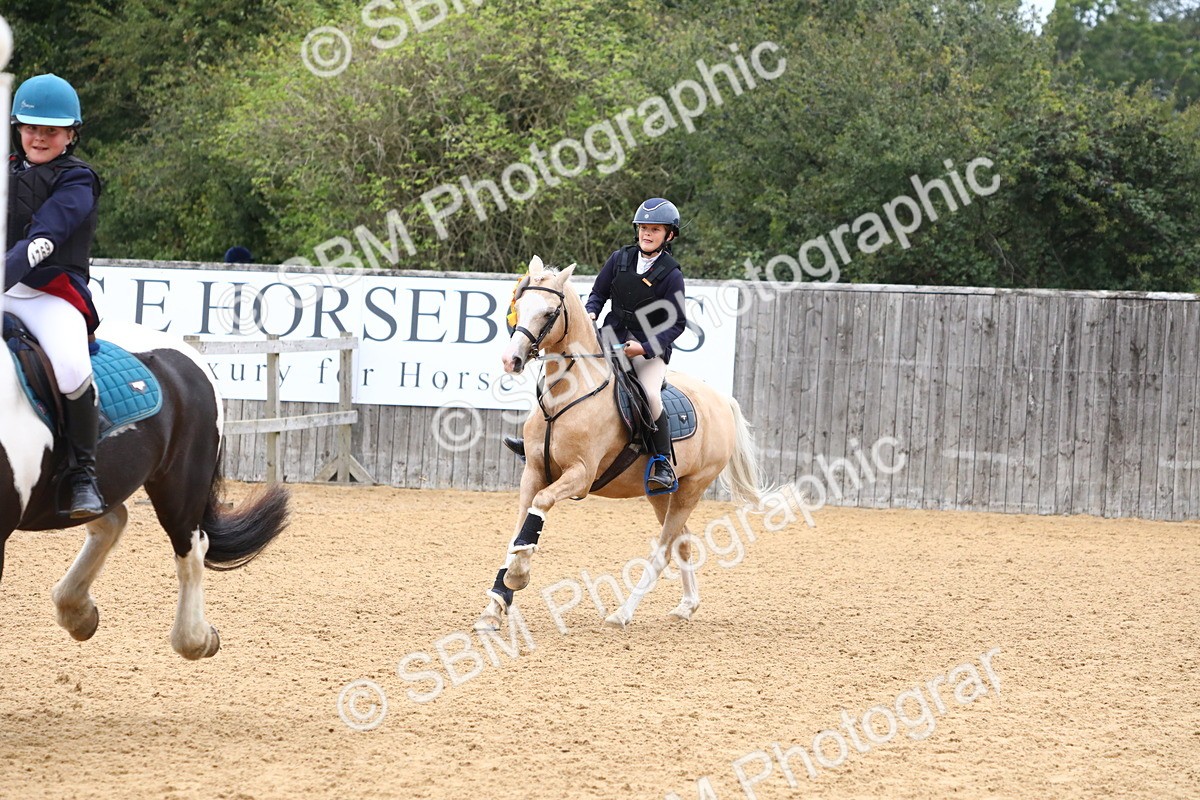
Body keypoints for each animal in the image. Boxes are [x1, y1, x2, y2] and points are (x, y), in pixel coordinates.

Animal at [475, 256, 765, 631]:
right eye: (519, 305)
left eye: (550, 312)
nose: (511, 360)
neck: (566, 393)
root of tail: (721, 400)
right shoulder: (534, 471)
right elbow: (518, 532)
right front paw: (495, 605)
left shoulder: (580, 475)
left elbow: (539, 508)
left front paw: (518, 575)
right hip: (661, 493)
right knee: (682, 542)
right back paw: (686, 606)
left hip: (692, 488)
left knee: (663, 550)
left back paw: (622, 613)